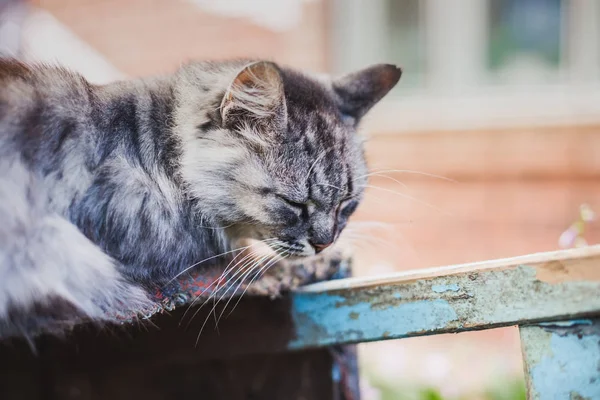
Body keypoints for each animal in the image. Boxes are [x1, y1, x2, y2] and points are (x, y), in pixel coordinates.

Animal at [1, 57, 404, 338]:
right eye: (294, 204)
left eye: (346, 204)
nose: (324, 243)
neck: (160, 152)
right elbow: (249, 264)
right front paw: (317, 263)